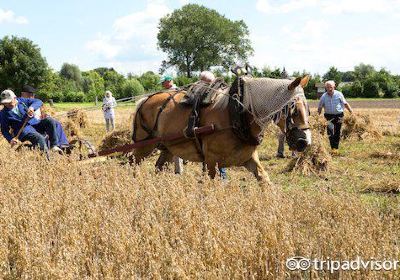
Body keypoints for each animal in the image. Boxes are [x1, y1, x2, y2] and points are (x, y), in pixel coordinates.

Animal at [133, 76, 310, 184]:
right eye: (293, 110)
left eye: (307, 108)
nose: (305, 142)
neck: (236, 114)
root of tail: (145, 99)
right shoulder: (211, 161)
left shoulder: (249, 158)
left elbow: (265, 180)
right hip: (144, 146)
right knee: (134, 165)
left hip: (168, 148)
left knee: (158, 167)